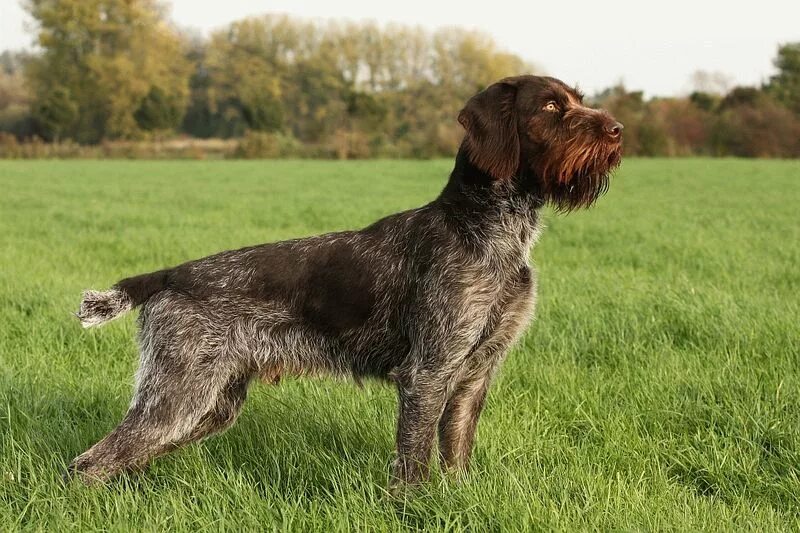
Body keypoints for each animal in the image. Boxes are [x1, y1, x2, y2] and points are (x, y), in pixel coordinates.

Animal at [69, 74, 620, 486]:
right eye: (550, 106)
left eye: (578, 100)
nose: (616, 130)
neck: (488, 229)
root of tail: (170, 274)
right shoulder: (428, 373)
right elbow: (414, 465)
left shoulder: (473, 377)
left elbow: (456, 456)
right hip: (179, 394)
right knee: (90, 463)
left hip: (211, 403)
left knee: (120, 458)